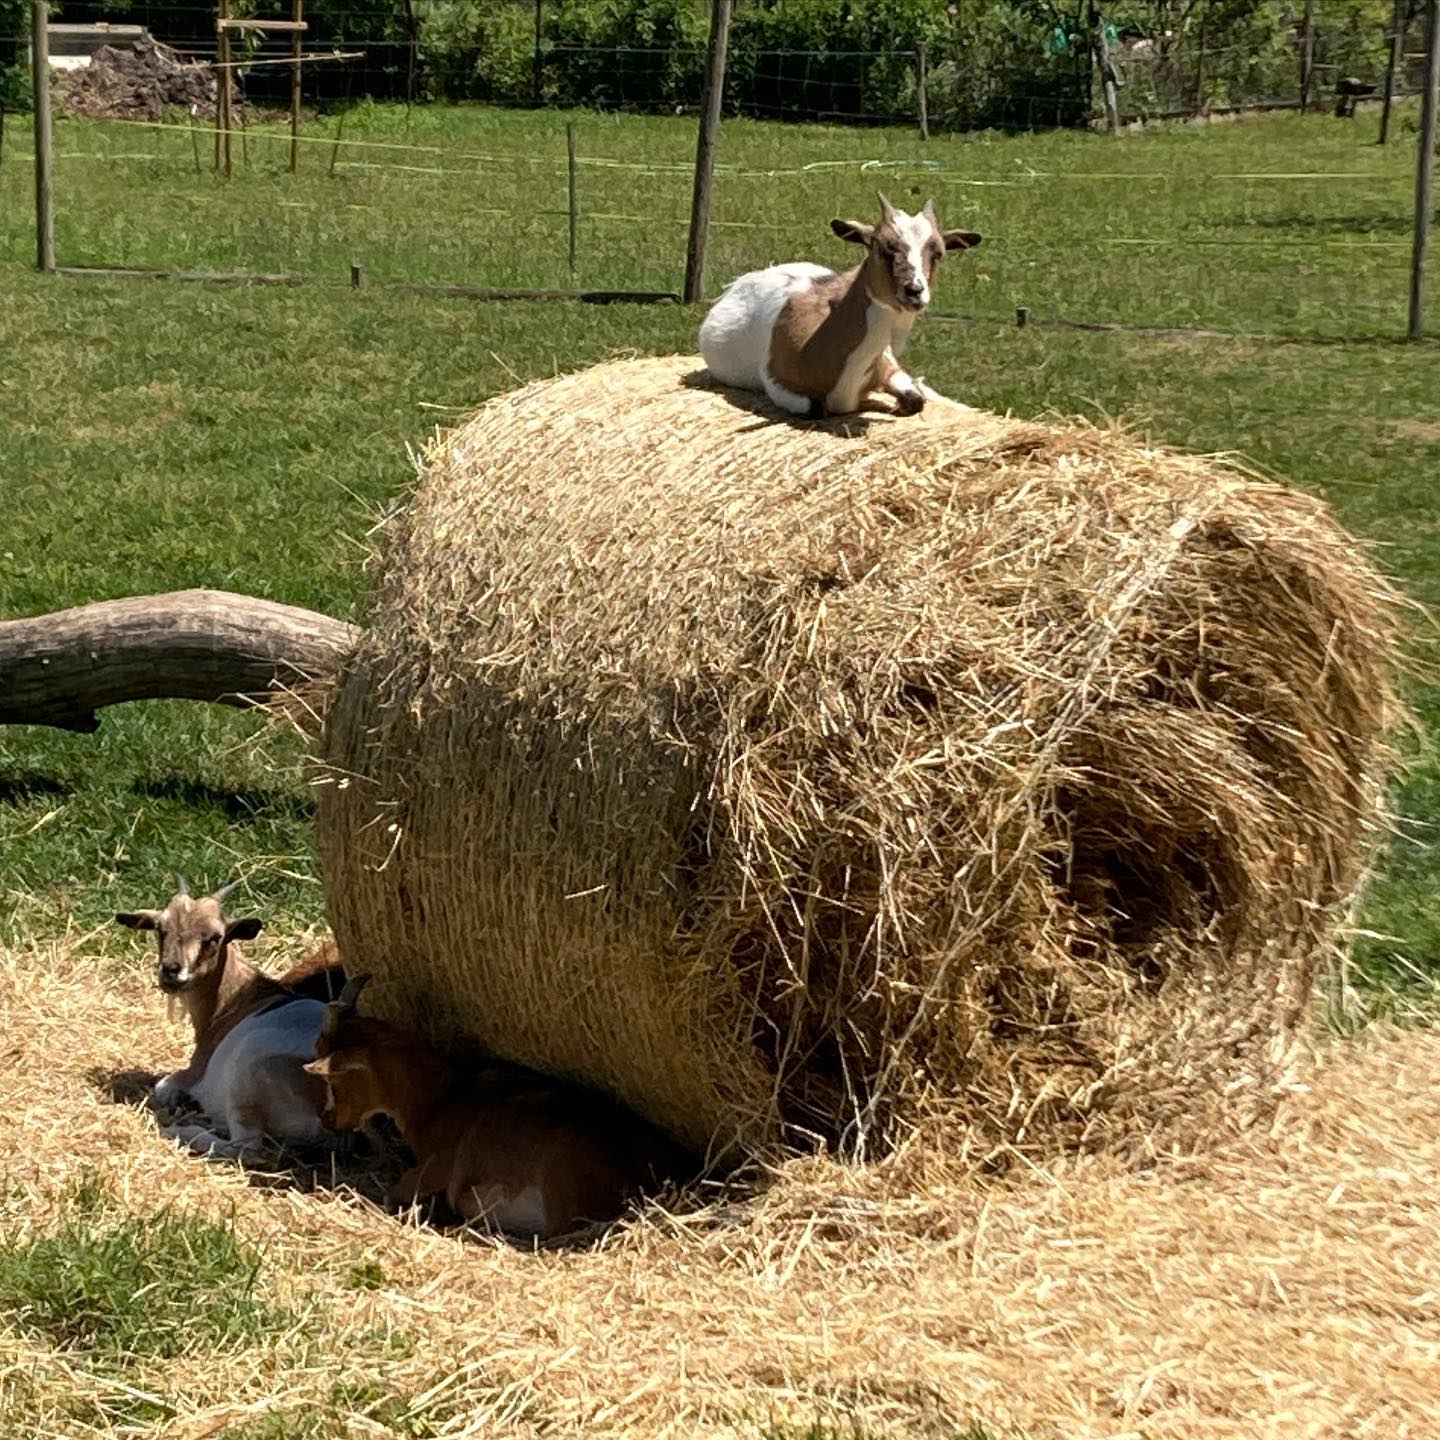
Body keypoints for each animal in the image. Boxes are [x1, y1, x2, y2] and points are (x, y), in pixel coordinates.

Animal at [115, 876, 343, 1159]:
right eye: (159, 928)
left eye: (214, 938)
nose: (171, 970)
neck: (237, 999)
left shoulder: (191, 1073)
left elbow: (162, 1086)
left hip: (246, 1083)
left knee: (247, 1147)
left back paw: (183, 1130)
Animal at [304, 976, 692, 1243]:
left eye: (333, 1078)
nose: (328, 1119)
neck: (442, 1099)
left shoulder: (437, 1167)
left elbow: (393, 1194)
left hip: (562, 1175)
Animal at [699, 192, 981, 419]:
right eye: (881, 245)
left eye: (938, 253)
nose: (914, 292)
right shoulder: (776, 383)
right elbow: (816, 408)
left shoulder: (887, 364)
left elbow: (915, 400)